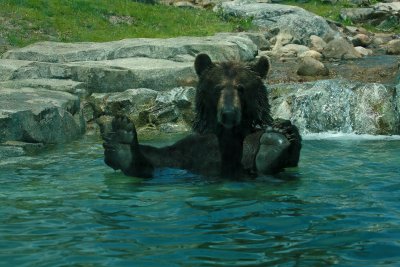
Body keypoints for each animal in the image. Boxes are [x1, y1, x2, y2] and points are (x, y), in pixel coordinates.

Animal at [101, 54, 300, 180]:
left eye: (241, 88)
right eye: (218, 87)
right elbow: (160, 158)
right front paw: (121, 140)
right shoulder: (189, 150)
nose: (228, 114)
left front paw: (281, 134)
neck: (229, 134)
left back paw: (274, 142)